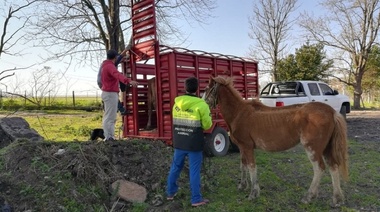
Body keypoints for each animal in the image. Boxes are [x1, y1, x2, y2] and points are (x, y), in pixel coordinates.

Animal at [203, 76, 348, 205]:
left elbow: (251, 167)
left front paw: (253, 193)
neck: (239, 113)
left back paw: (308, 197)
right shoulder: (242, 148)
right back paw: (337, 199)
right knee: (333, 167)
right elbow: (243, 165)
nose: (202, 103)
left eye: (206, 89)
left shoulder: (247, 147)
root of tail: (331, 112)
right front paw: (242, 186)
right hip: (326, 148)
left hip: (312, 148)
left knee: (319, 168)